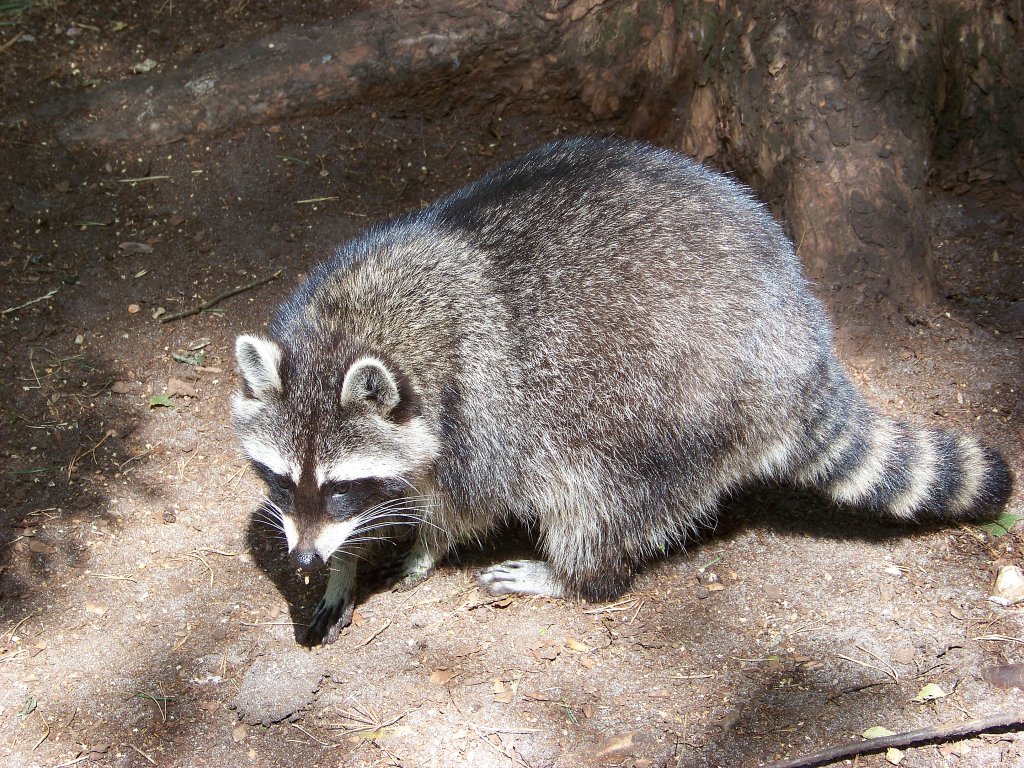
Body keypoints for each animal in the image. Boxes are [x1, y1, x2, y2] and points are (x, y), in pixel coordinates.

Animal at [234, 137, 1015, 643]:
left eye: (341, 489)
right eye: (281, 481)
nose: (302, 560)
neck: (354, 324)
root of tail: (803, 345)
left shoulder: (480, 404)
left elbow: (466, 502)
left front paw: (417, 547)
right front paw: (341, 565)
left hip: (674, 404)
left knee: (599, 494)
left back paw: (575, 573)